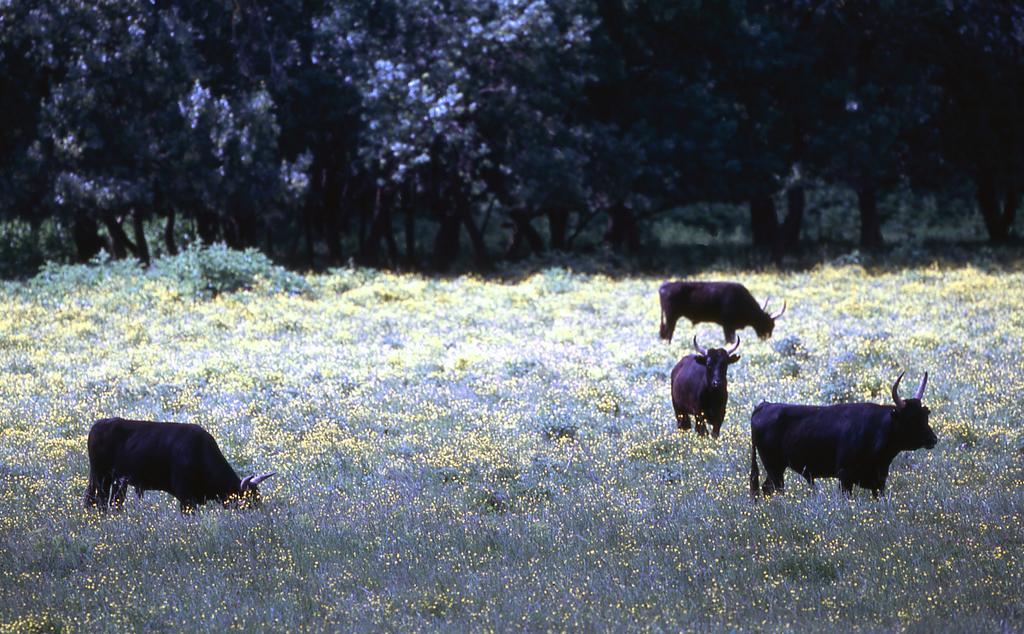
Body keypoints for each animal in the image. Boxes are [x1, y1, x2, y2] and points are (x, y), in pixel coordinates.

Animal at [745, 372, 937, 501]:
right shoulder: (845, 477)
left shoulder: (879, 481)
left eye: (925, 415)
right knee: (774, 489)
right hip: (774, 467)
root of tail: (764, 405)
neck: (878, 428)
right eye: (910, 419)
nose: (933, 439)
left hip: (776, 468)